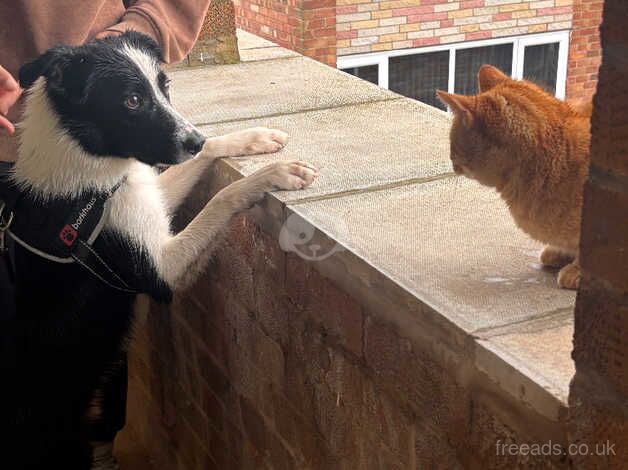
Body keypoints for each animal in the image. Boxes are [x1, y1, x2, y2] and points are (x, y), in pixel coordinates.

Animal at [0, 31, 314, 468]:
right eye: (132, 100)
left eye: (166, 88)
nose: (194, 139)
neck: (85, 156)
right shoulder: (161, 270)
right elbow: (222, 198)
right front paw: (276, 173)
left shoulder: (150, 196)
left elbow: (202, 160)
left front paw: (251, 138)